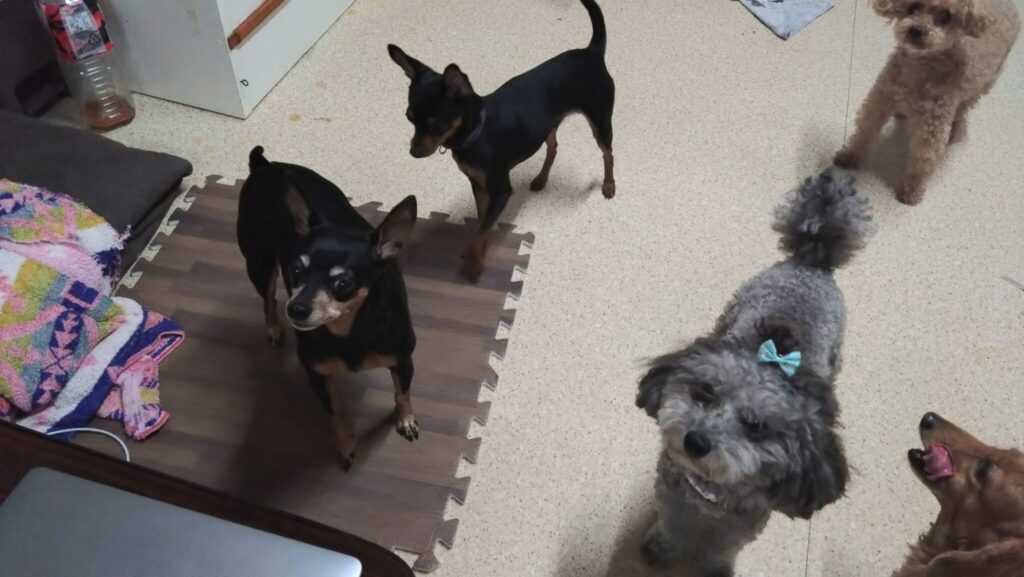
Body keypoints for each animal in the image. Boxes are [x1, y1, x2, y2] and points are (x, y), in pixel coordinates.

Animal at [237, 146, 419, 469]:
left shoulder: (402, 359)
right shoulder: (318, 375)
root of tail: (265, 165)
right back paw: (272, 327)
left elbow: (402, 394)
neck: (349, 329)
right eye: (296, 269)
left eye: (343, 283)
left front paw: (405, 419)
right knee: (268, 298)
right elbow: (334, 412)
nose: (296, 309)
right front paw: (345, 444)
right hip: (258, 262)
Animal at [387, 0, 615, 281]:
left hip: (600, 122)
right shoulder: (479, 186)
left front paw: (474, 263)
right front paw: (480, 252)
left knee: (608, 153)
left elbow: (479, 231)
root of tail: (591, 52)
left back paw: (608, 184)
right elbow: (481, 223)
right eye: (409, 118)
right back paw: (541, 178)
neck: (474, 134)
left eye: (437, 126)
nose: (414, 152)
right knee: (553, 146)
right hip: (546, 125)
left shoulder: (500, 190)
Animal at [635, 170, 872, 577]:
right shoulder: (672, 494)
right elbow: (671, 526)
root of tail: (811, 264)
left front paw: (714, 569)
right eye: (706, 392)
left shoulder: (746, 520)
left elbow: (721, 548)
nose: (696, 441)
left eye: (756, 426)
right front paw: (661, 549)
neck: (711, 490)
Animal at [835, 0, 1020, 205]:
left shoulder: (932, 126)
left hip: (983, 85)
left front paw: (912, 190)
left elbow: (922, 157)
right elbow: (865, 129)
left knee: (963, 108)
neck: (920, 66)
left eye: (946, 16)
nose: (916, 30)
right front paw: (850, 155)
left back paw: (955, 128)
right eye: (913, 7)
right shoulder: (881, 99)